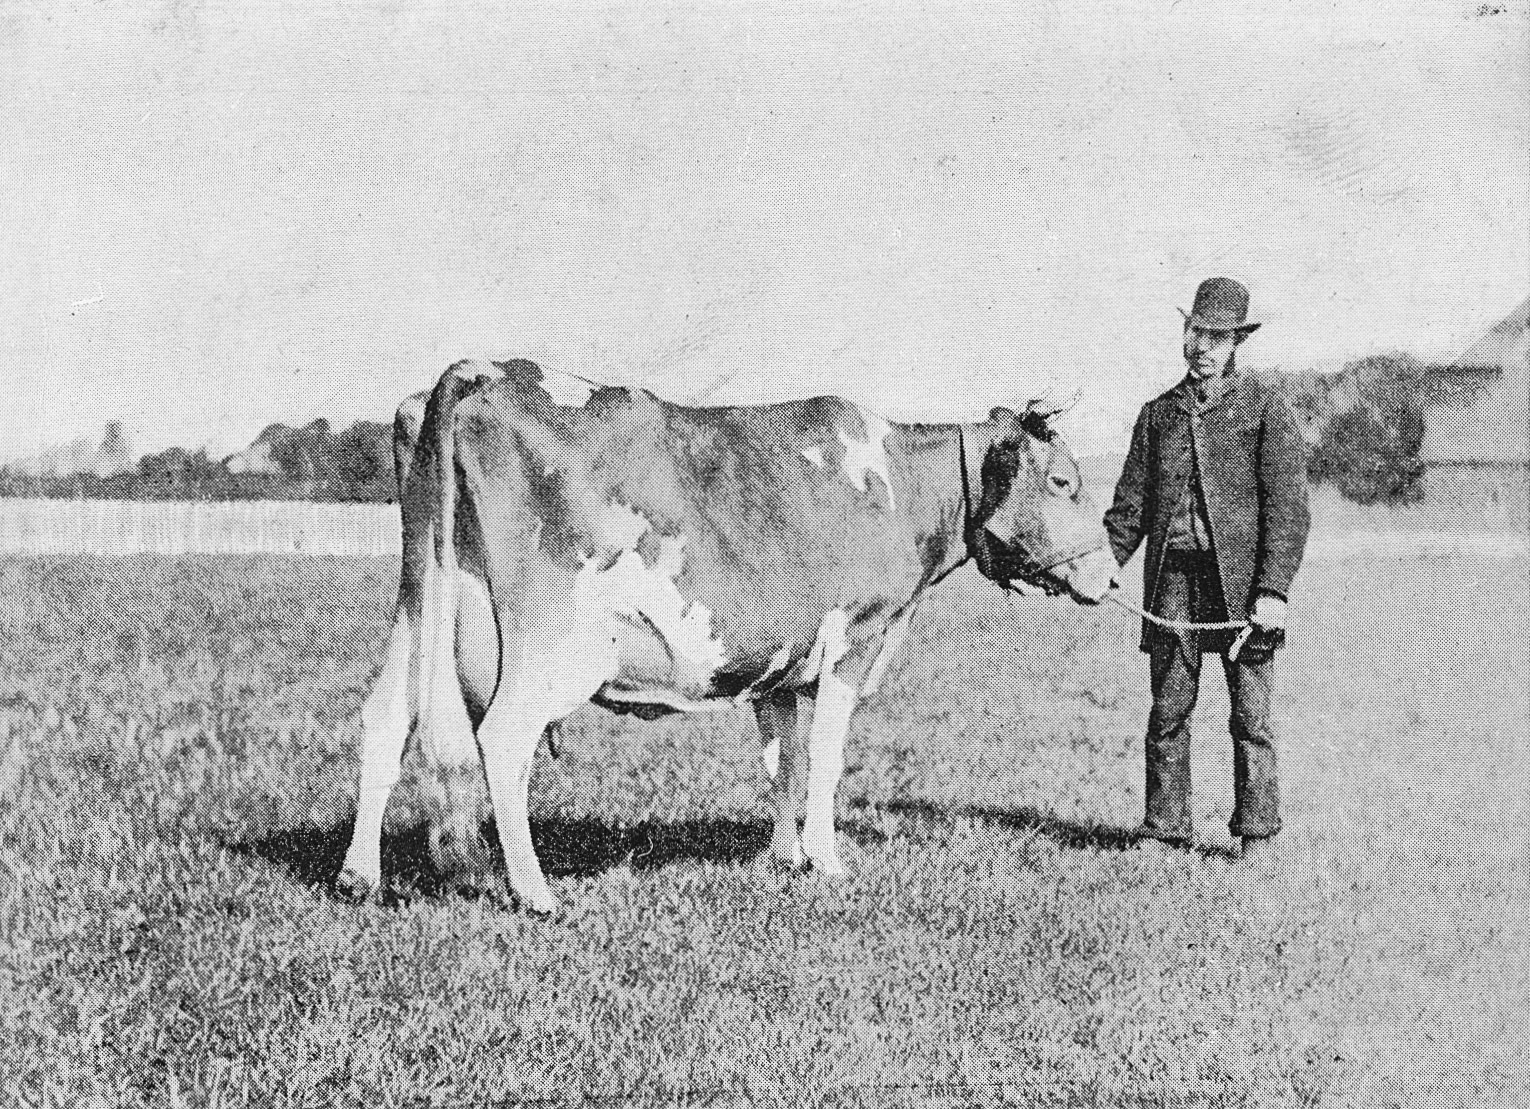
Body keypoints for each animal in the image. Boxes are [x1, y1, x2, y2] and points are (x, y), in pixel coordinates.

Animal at [337, 358, 1116, 913]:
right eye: (1064, 481)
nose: (1110, 574)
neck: (897, 482)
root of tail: (485, 371)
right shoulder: (855, 640)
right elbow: (825, 761)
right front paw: (830, 862)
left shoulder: (780, 663)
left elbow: (784, 762)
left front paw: (788, 857)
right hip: (554, 643)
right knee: (501, 739)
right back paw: (535, 893)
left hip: (421, 603)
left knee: (386, 719)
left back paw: (359, 876)